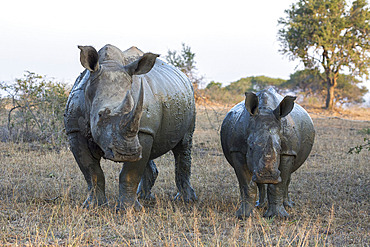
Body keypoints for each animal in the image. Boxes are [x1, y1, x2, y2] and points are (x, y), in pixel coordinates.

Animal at [64, 44, 197, 210]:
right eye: (100, 115)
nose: (127, 153)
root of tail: (184, 77)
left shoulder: (144, 130)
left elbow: (130, 174)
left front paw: (129, 210)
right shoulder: (75, 131)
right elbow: (91, 171)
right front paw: (93, 206)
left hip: (190, 98)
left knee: (184, 145)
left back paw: (186, 200)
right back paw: (144, 197)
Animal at [221, 87, 314, 218]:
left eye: (279, 149)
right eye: (250, 148)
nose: (267, 176)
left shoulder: (288, 152)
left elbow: (279, 184)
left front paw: (279, 216)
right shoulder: (237, 149)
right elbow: (246, 184)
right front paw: (244, 216)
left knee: (288, 177)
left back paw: (288, 205)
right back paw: (259, 205)